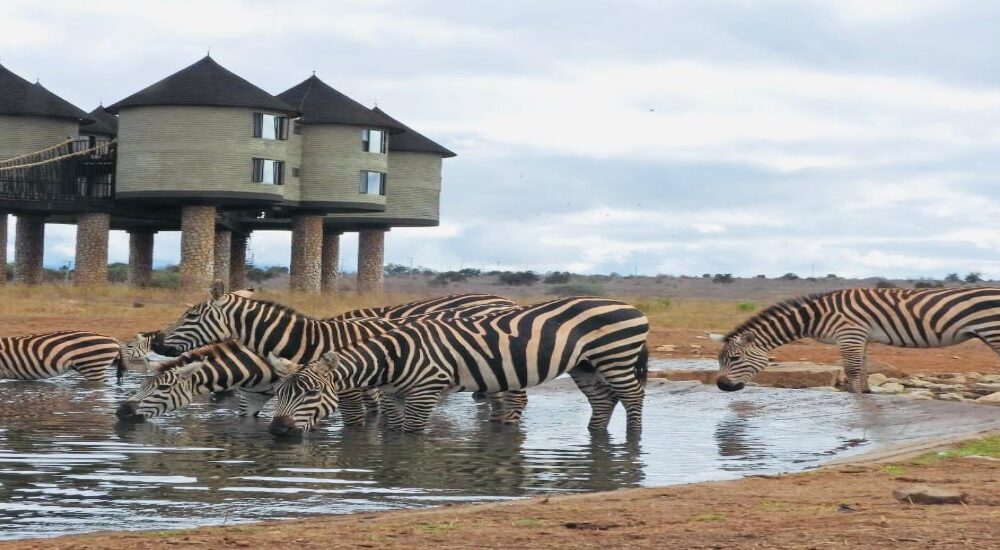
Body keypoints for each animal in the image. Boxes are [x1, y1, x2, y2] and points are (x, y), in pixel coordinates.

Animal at [266, 300, 648, 438]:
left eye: (312, 393)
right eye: (278, 393)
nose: (278, 430)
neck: (393, 358)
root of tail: (630, 306)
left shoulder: (424, 392)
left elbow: (412, 435)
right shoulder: (394, 396)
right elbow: (393, 432)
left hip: (616, 356)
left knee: (633, 396)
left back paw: (633, 438)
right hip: (586, 365)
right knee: (603, 401)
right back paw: (595, 435)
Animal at [712, 286, 1000, 394]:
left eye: (735, 358)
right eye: (719, 360)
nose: (722, 387)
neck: (816, 316)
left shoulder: (849, 334)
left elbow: (852, 368)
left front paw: (855, 396)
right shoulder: (861, 337)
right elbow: (864, 366)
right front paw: (868, 392)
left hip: (993, 330)